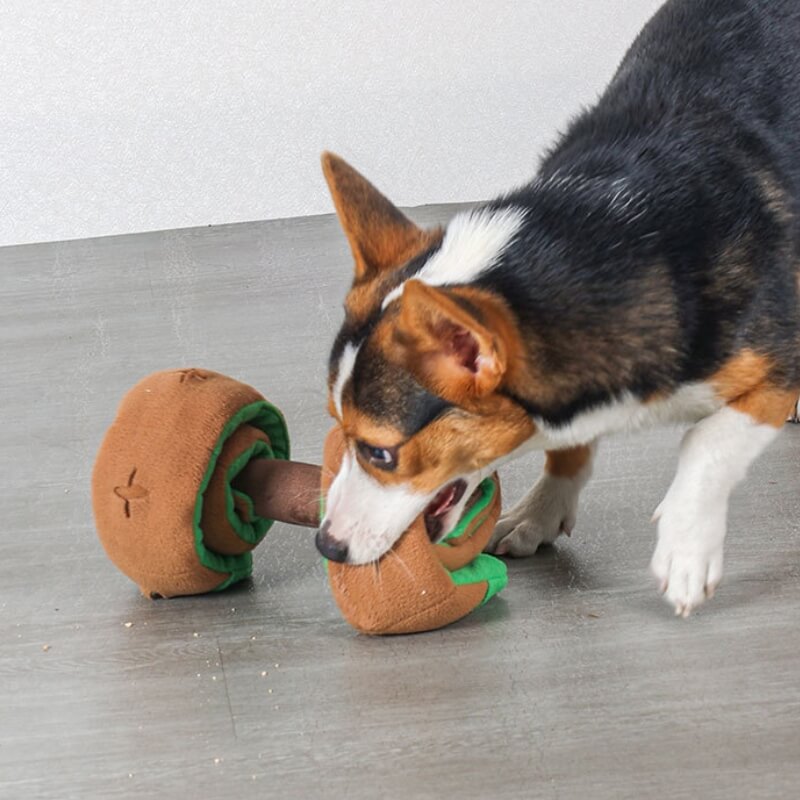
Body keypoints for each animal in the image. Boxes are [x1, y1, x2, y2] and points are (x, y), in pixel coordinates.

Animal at [316, 0, 796, 620]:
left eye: (380, 452)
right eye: (337, 427)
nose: (326, 545)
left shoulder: (777, 365)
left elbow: (706, 443)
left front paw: (686, 553)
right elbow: (568, 450)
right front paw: (540, 512)